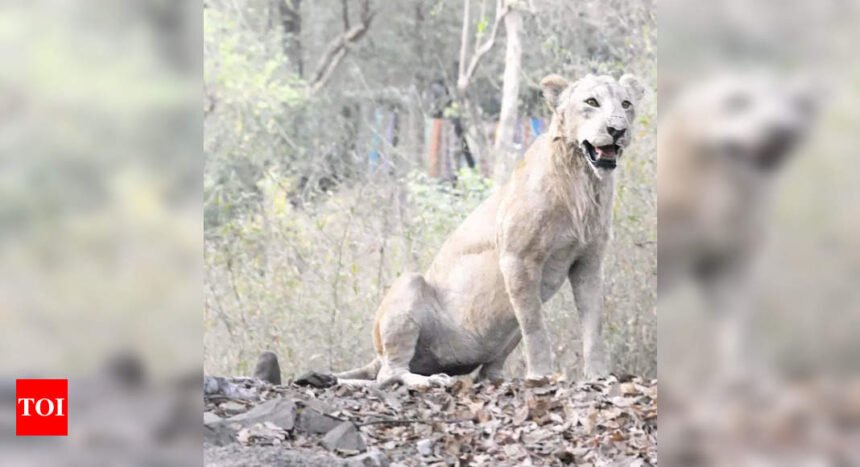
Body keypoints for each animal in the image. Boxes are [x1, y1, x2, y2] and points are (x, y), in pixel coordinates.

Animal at [335, 73, 645, 387]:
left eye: (626, 104)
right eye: (591, 102)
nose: (617, 129)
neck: (583, 180)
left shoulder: (588, 261)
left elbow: (594, 322)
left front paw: (599, 376)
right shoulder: (517, 259)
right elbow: (535, 325)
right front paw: (541, 375)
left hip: (505, 332)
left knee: (485, 370)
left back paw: (498, 380)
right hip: (410, 287)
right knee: (388, 374)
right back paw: (428, 381)